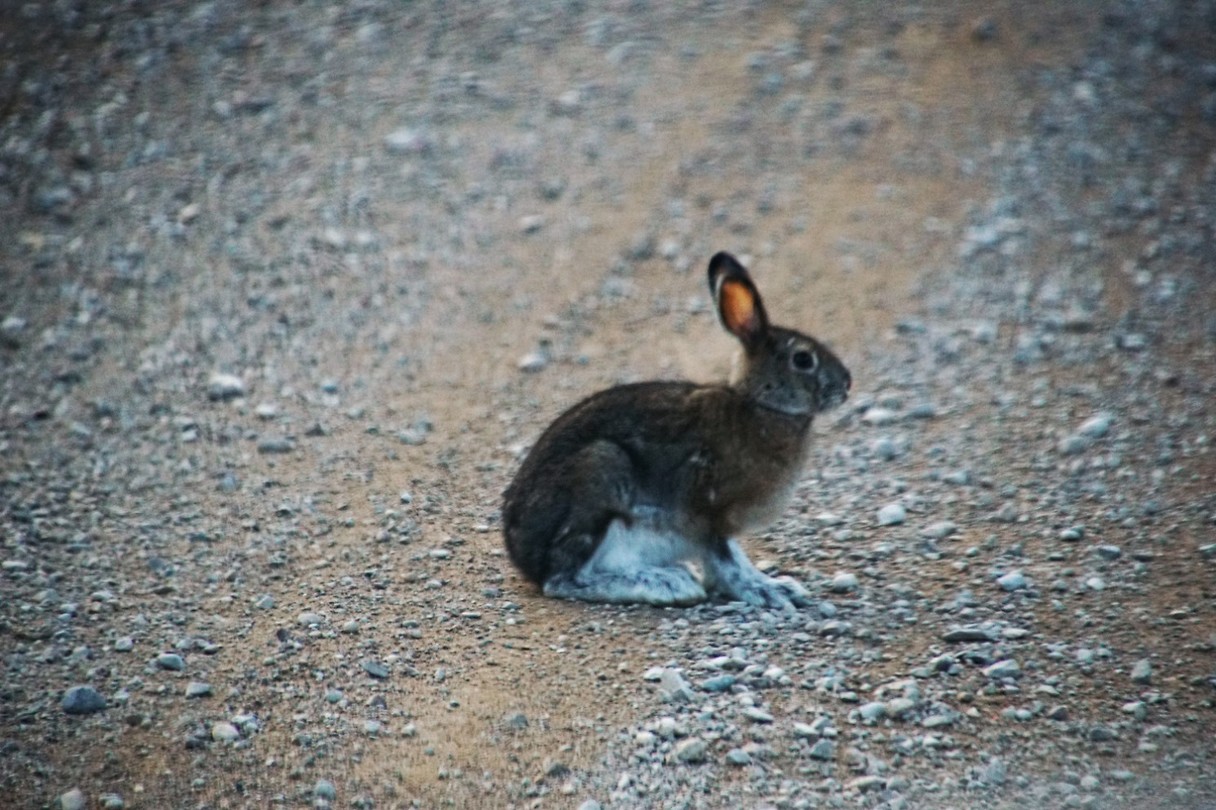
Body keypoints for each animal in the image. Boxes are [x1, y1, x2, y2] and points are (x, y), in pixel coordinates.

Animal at [502, 251, 851, 609]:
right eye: (803, 359)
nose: (846, 385)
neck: (760, 406)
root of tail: (522, 554)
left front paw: (781, 586)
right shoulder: (708, 511)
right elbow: (726, 562)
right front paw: (766, 592)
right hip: (599, 473)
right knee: (564, 579)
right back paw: (665, 583)